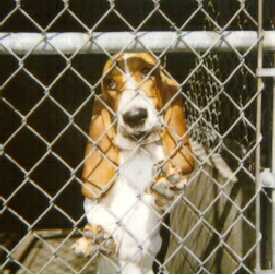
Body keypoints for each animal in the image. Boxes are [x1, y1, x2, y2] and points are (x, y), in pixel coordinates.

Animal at [72, 52, 195, 274]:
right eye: (110, 83)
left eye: (147, 72)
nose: (135, 116)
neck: (138, 152)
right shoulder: (94, 203)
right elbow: (98, 214)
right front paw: (95, 240)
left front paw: (165, 188)